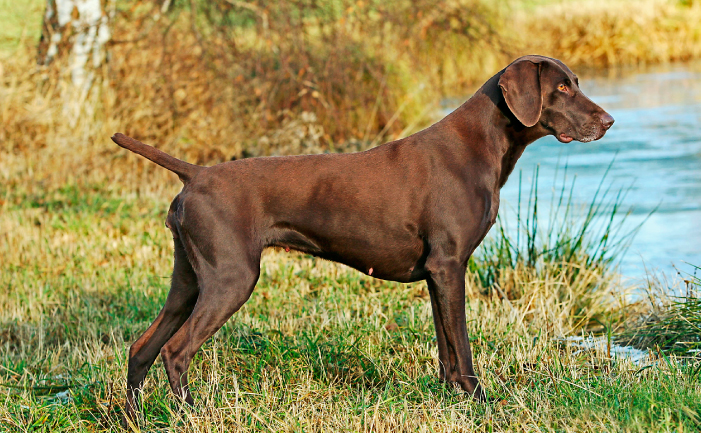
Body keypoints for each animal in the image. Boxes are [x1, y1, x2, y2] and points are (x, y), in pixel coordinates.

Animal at [110, 54, 612, 418]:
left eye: (576, 81)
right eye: (562, 87)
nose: (608, 121)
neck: (479, 145)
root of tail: (195, 174)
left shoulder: (438, 274)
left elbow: (447, 350)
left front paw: (451, 400)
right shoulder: (450, 266)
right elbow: (464, 351)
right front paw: (481, 404)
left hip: (189, 281)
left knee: (141, 348)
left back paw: (134, 418)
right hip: (231, 278)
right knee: (175, 351)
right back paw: (193, 415)